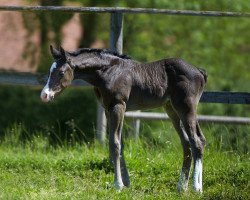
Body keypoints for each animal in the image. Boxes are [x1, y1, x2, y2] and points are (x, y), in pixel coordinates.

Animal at [40, 46, 207, 193]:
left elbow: (114, 143)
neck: (108, 72)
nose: (45, 95)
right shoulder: (108, 109)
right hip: (171, 109)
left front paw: (118, 185)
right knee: (188, 143)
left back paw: (196, 187)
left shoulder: (118, 106)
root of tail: (199, 71)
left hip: (186, 108)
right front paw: (126, 183)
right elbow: (120, 144)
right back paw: (182, 187)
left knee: (197, 141)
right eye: (49, 71)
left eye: (61, 72)